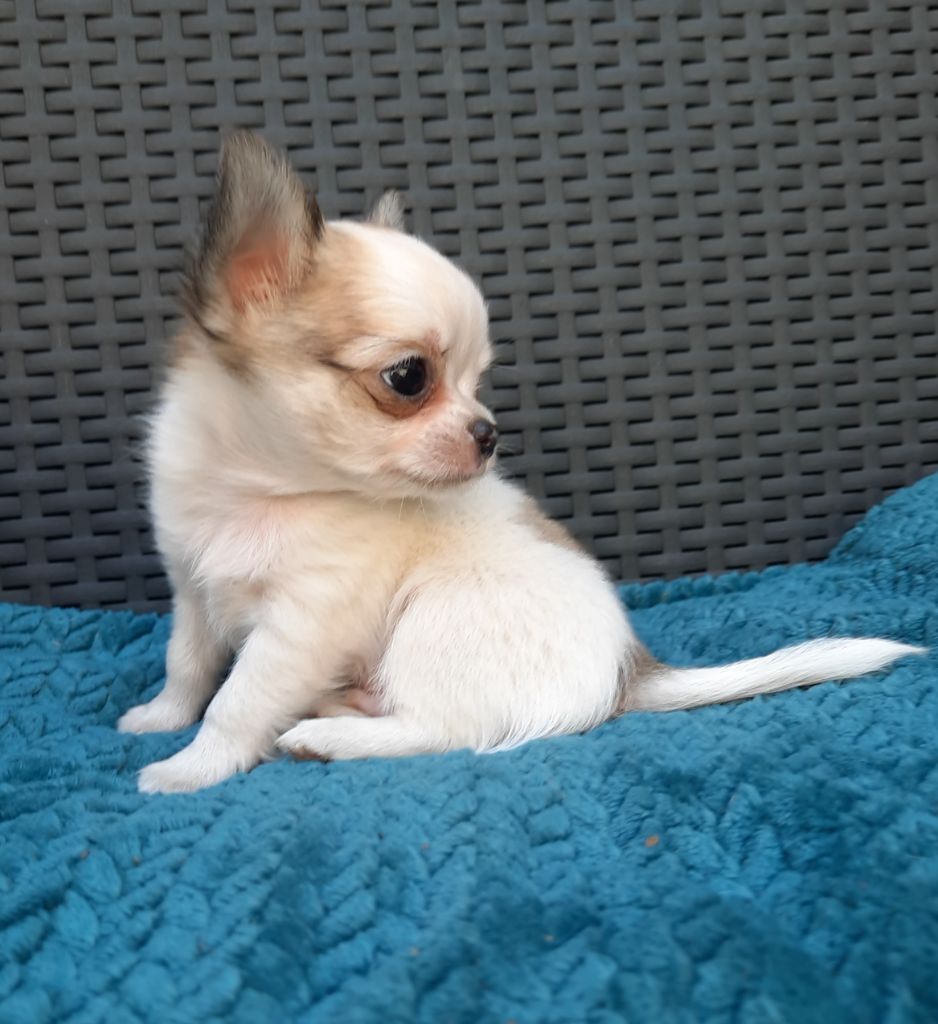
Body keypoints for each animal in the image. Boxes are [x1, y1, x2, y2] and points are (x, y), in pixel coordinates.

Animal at [118, 131, 922, 793]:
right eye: (409, 378)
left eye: (478, 380)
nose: (488, 432)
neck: (261, 491)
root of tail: (628, 671)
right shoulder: (192, 590)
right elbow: (189, 665)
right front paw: (159, 718)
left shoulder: (301, 624)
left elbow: (238, 699)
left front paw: (190, 768)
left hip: (434, 619)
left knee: (442, 730)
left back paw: (330, 735)